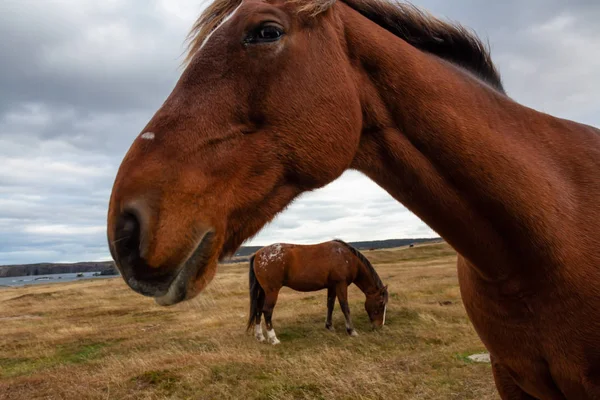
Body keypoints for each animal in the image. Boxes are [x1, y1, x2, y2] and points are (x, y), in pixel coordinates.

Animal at [246, 239, 386, 346]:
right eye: (381, 303)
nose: (380, 326)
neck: (347, 258)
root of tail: (258, 254)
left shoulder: (332, 286)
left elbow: (330, 305)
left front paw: (329, 326)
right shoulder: (341, 284)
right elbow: (345, 306)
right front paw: (351, 330)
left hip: (263, 291)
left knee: (258, 309)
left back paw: (260, 336)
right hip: (272, 291)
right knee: (267, 311)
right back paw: (273, 339)